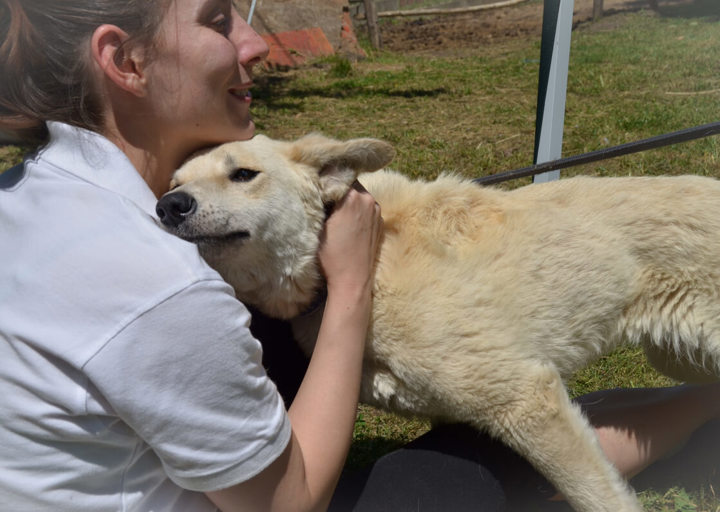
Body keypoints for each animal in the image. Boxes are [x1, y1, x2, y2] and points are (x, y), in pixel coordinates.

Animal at [156, 133, 720, 512]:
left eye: (243, 175)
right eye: (175, 183)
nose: (167, 206)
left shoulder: (523, 398)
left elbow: (599, 496)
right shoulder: (455, 412)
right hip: (679, 357)